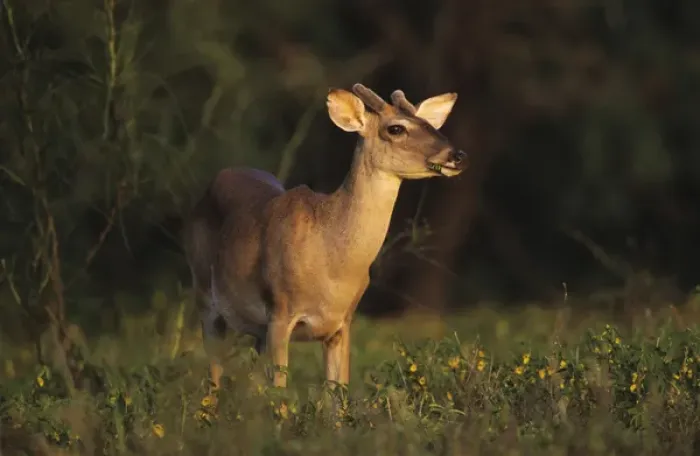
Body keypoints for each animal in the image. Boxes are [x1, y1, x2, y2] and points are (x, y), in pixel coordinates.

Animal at [182, 83, 467, 396]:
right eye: (396, 128)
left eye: (429, 123)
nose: (457, 155)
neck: (332, 261)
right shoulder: (279, 312)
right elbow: (280, 395)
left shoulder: (342, 323)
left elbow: (337, 396)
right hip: (204, 296)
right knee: (214, 377)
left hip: (254, 328)